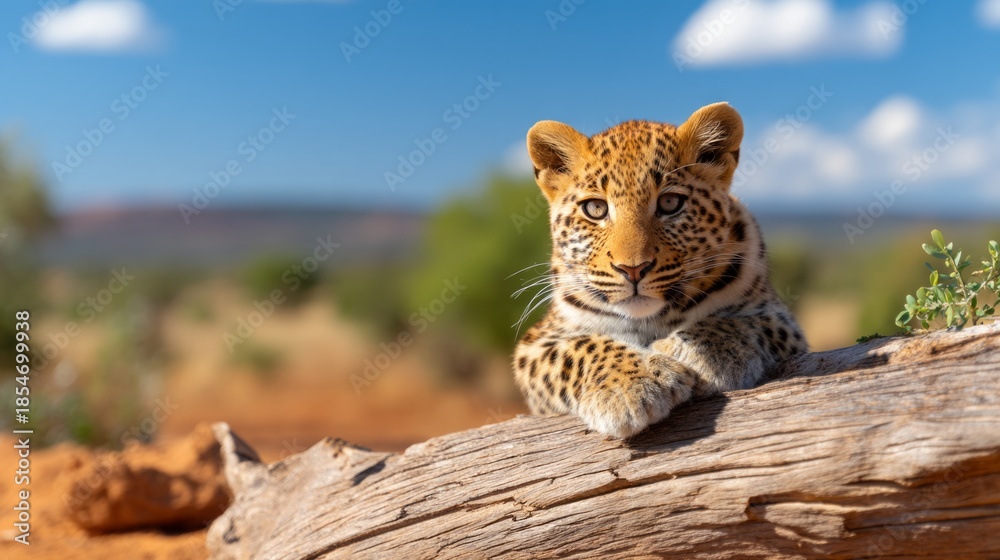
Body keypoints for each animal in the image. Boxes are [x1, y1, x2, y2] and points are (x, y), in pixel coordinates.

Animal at [512, 102, 807, 439]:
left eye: (670, 203)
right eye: (595, 209)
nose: (633, 269)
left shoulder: (781, 320)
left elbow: (740, 322)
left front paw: (695, 352)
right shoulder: (536, 343)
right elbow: (578, 348)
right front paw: (630, 385)